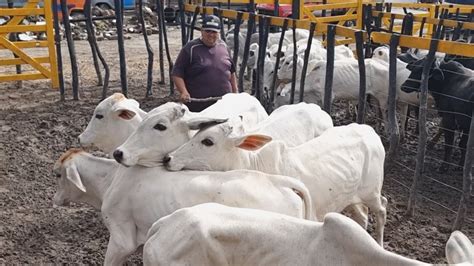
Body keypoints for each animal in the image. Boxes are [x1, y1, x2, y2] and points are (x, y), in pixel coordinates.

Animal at [165, 123, 386, 246]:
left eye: (208, 141)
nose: (168, 158)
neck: (252, 164)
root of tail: (369, 130)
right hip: (352, 197)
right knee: (362, 215)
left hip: (372, 192)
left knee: (382, 208)